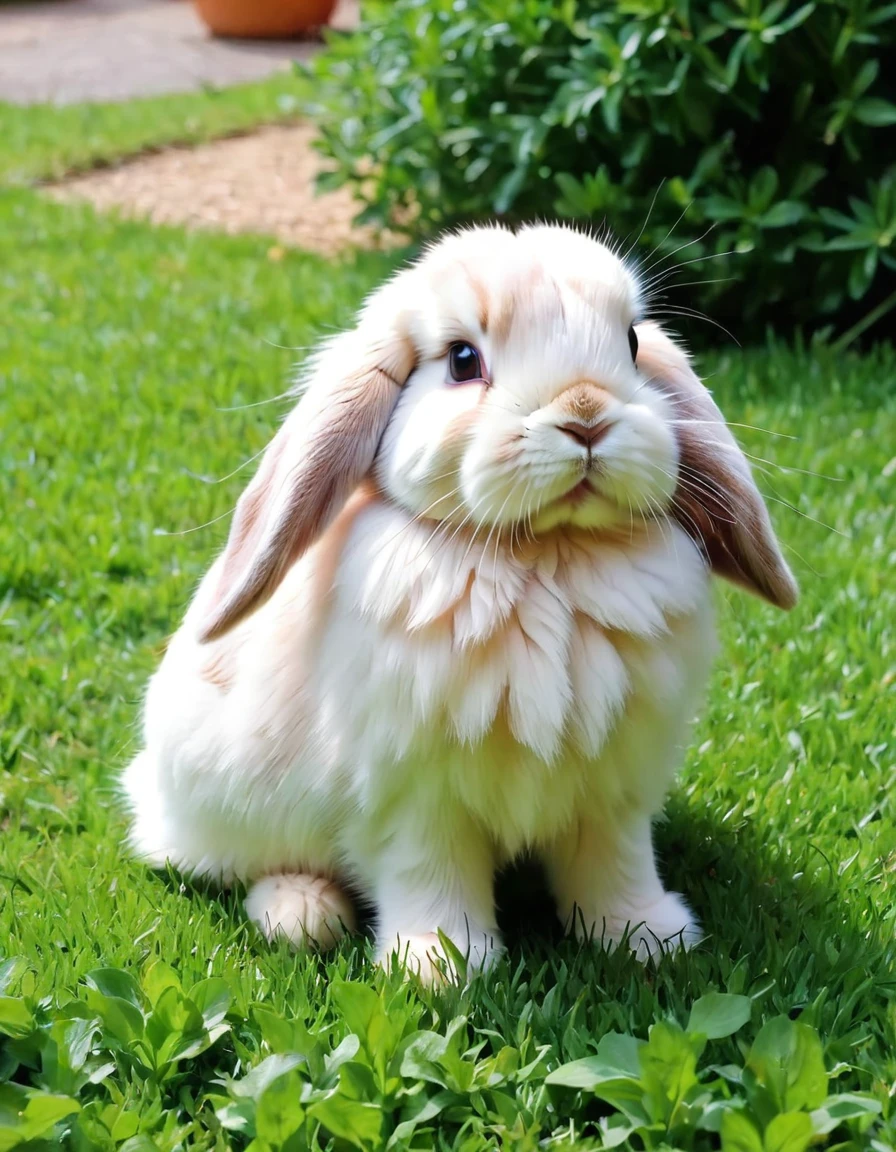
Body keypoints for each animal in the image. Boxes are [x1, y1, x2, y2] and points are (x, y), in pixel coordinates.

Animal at [120, 222, 796, 981]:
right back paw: (301, 913)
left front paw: (648, 938)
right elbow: (430, 872)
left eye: (629, 342)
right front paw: (441, 968)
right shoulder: (415, 795)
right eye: (462, 360)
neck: (548, 557)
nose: (586, 414)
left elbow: (615, 864)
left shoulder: (613, 790)